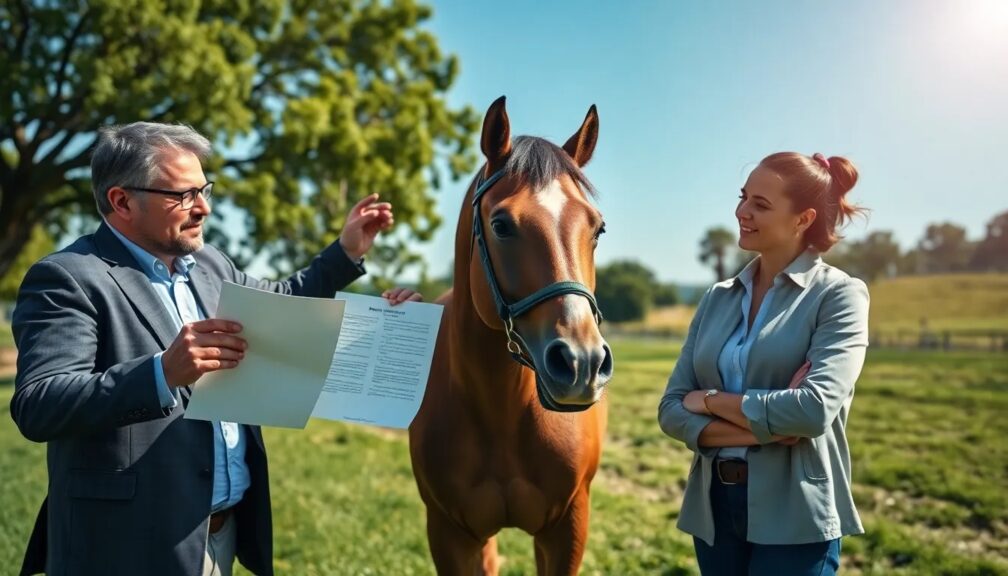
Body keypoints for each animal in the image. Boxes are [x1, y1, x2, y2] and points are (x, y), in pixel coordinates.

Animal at [409, 96, 613, 575]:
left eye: (597, 229)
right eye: (501, 225)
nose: (581, 363)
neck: (502, 412)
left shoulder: (566, 530)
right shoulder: (449, 534)